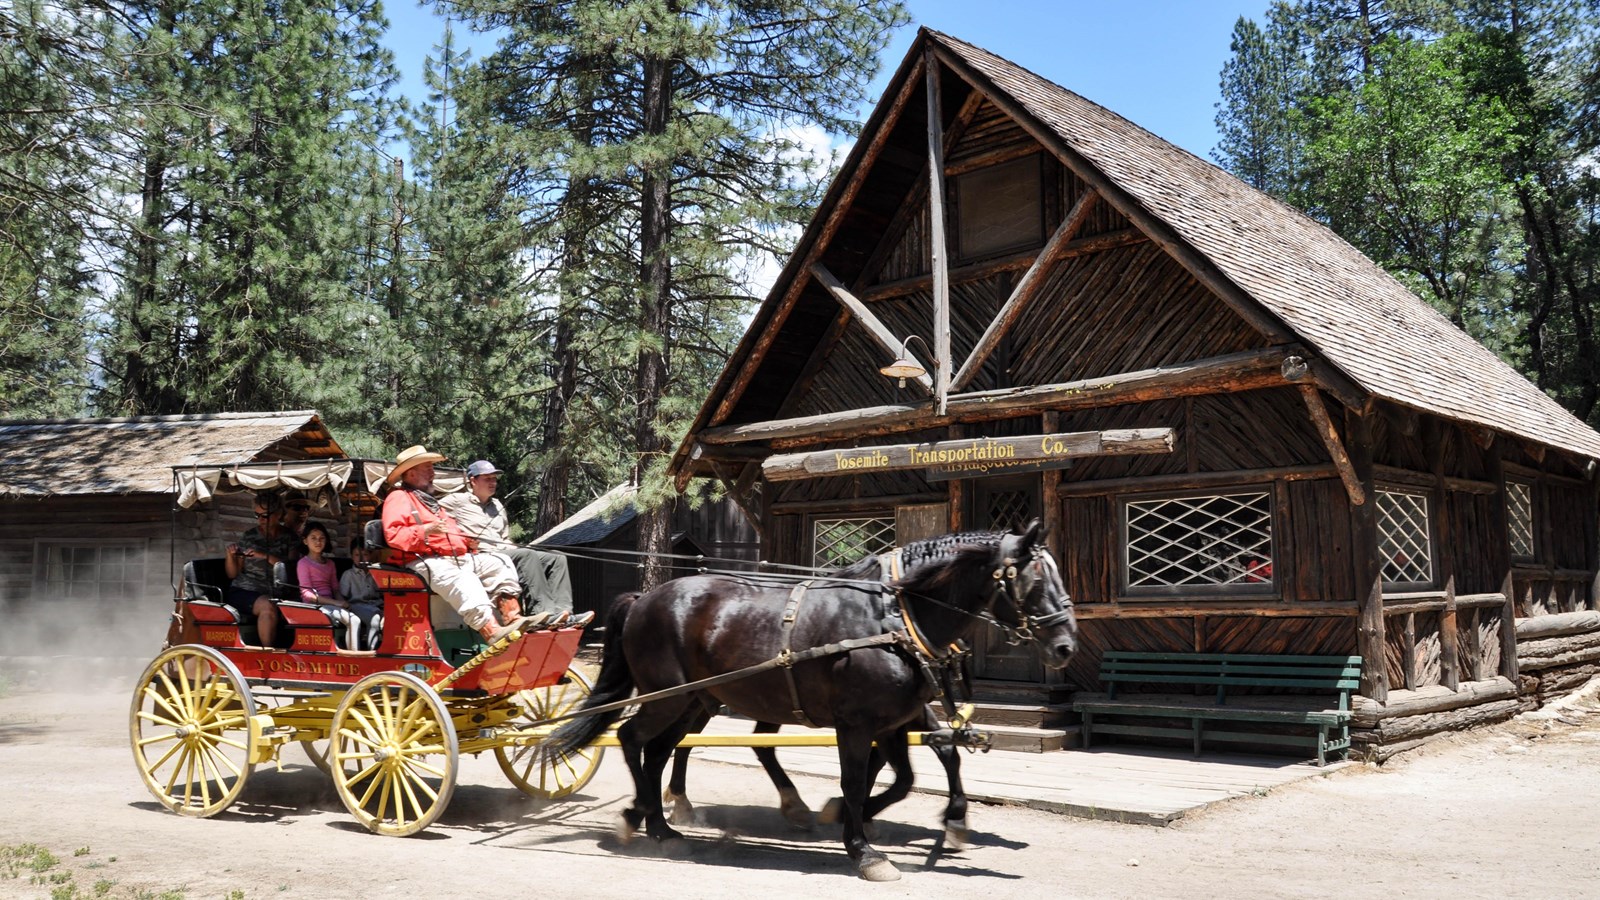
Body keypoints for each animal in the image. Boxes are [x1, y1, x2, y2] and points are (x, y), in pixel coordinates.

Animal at [544, 518, 1081, 877]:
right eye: (1035, 579)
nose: (1065, 646)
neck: (895, 616)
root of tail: (644, 598)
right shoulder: (858, 723)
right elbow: (857, 779)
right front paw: (862, 846)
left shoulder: (892, 720)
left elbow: (909, 774)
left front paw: (893, 821)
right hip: (668, 696)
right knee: (635, 740)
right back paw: (648, 820)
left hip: (695, 699)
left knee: (661, 750)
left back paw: (662, 821)